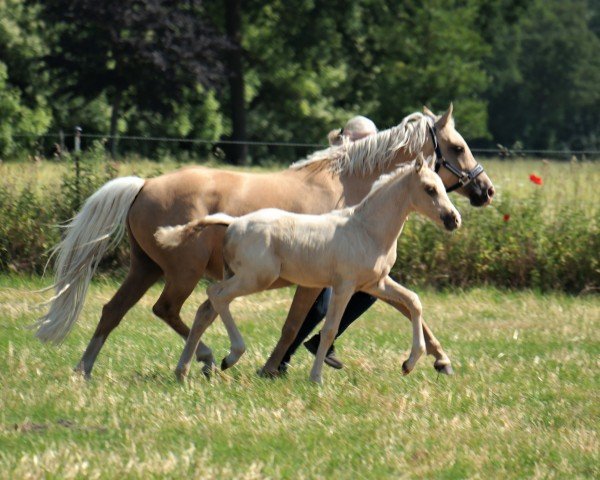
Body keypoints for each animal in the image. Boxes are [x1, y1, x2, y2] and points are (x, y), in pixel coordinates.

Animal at [157, 156, 462, 384]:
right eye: (429, 189)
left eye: (442, 186)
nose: (453, 219)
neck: (367, 230)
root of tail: (233, 223)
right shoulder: (344, 286)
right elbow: (329, 329)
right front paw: (316, 378)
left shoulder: (375, 283)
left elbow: (413, 301)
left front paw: (410, 363)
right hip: (255, 278)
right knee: (216, 295)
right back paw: (230, 356)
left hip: (238, 275)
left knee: (205, 311)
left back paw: (184, 371)